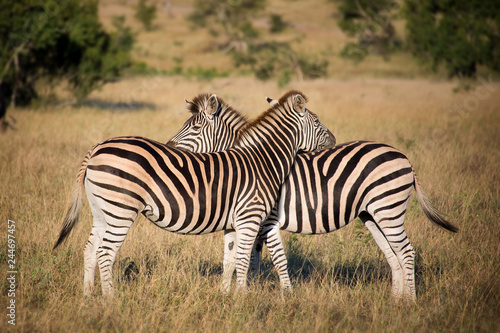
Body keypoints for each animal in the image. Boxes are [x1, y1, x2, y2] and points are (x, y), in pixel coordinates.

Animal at [52, 89, 334, 294]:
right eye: (317, 120)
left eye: (195, 128)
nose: (333, 139)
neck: (261, 160)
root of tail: (97, 147)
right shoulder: (253, 218)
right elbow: (251, 260)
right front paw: (247, 299)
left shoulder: (234, 223)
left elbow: (231, 260)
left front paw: (226, 297)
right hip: (121, 210)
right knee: (105, 253)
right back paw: (110, 300)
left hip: (103, 211)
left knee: (90, 250)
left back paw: (88, 298)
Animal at [167, 94, 458, 300]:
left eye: (194, 128)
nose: (168, 146)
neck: (255, 161)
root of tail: (403, 156)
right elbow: (252, 259)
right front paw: (243, 291)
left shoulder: (266, 219)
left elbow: (269, 258)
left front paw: (279, 296)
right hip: (372, 214)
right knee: (393, 253)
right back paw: (396, 301)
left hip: (389, 208)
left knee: (406, 251)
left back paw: (410, 303)